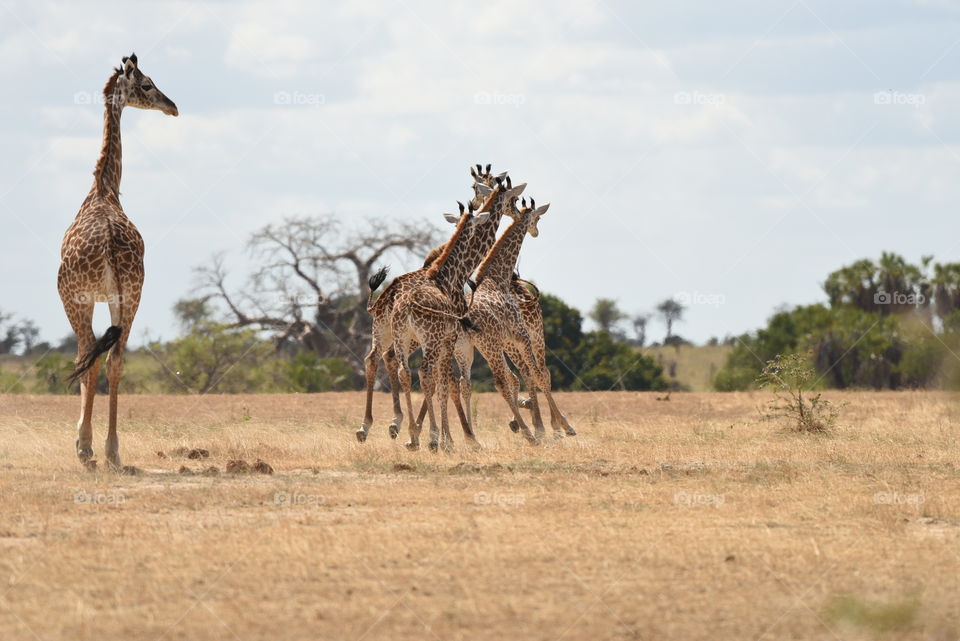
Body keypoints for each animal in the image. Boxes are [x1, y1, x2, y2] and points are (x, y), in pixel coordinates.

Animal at [58, 54, 178, 470]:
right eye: (147, 84)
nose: (172, 106)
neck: (104, 189)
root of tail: (110, 241)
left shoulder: (76, 295)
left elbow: (84, 360)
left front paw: (82, 444)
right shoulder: (113, 296)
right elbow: (103, 359)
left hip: (79, 297)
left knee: (91, 356)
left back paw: (92, 450)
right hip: (132, 293)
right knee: (116, 359)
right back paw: (113, 450)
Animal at [392, 178, 527, 451]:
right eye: (514, 199)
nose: (518, 215)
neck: (449, 275)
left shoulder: (454, 341)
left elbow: (451, 383)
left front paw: (449, 438)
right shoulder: (451, 338)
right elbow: (448, 384)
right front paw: (452, 439)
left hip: (402, 339)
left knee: (403, 372)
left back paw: (409, 434)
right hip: (431, 340)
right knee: (424, 374)